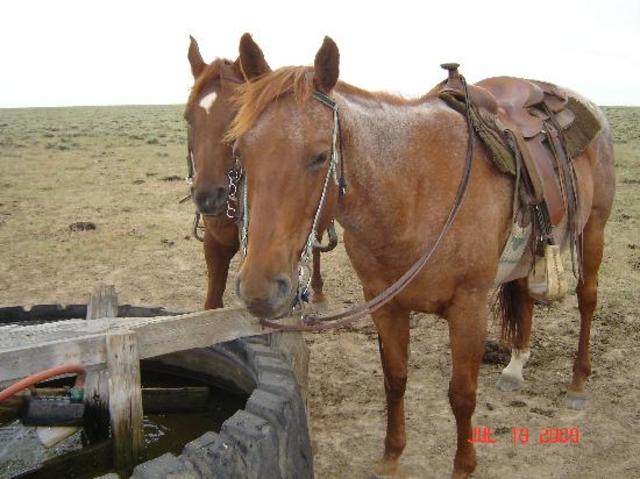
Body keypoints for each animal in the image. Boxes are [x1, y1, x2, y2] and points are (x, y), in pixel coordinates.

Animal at [226, 33, 615, 478]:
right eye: (240, 150)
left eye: (320, 156)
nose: (258, 290)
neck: (414, 192)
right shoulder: (385, 304)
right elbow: (395, 379)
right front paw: (392, 455)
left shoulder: (469, 307)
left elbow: (462, 394)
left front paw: (463, 465)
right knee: (525, 297)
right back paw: (515, 367)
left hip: (594, 229)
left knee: (587, 299)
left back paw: (578, 381)